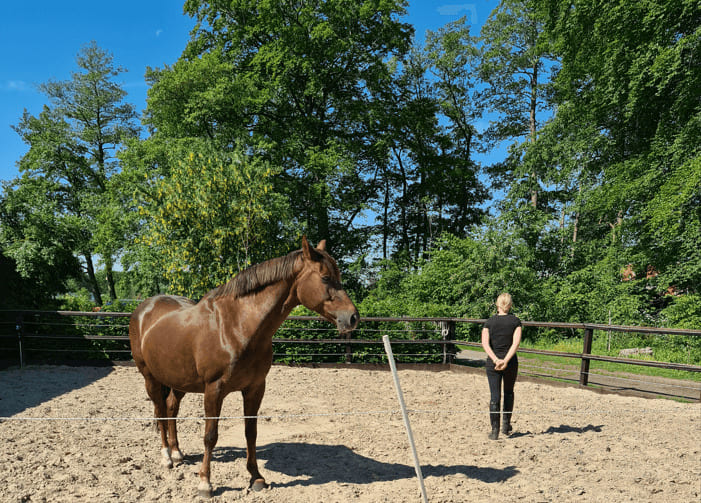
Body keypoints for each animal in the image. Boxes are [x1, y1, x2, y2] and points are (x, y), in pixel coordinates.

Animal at [131, 238, 358, 498]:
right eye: (325, 278)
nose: (352, 318)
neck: (237, 326)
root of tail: (144, 309)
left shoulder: (255, 388)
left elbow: (251, 432)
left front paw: (256, 477)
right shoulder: (214, 390)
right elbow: (210, 436)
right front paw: (205, 483)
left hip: (179, 380)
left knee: (171, 409)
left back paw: (177, 453)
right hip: (150, 378)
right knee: (160, 411)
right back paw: (166, 457)